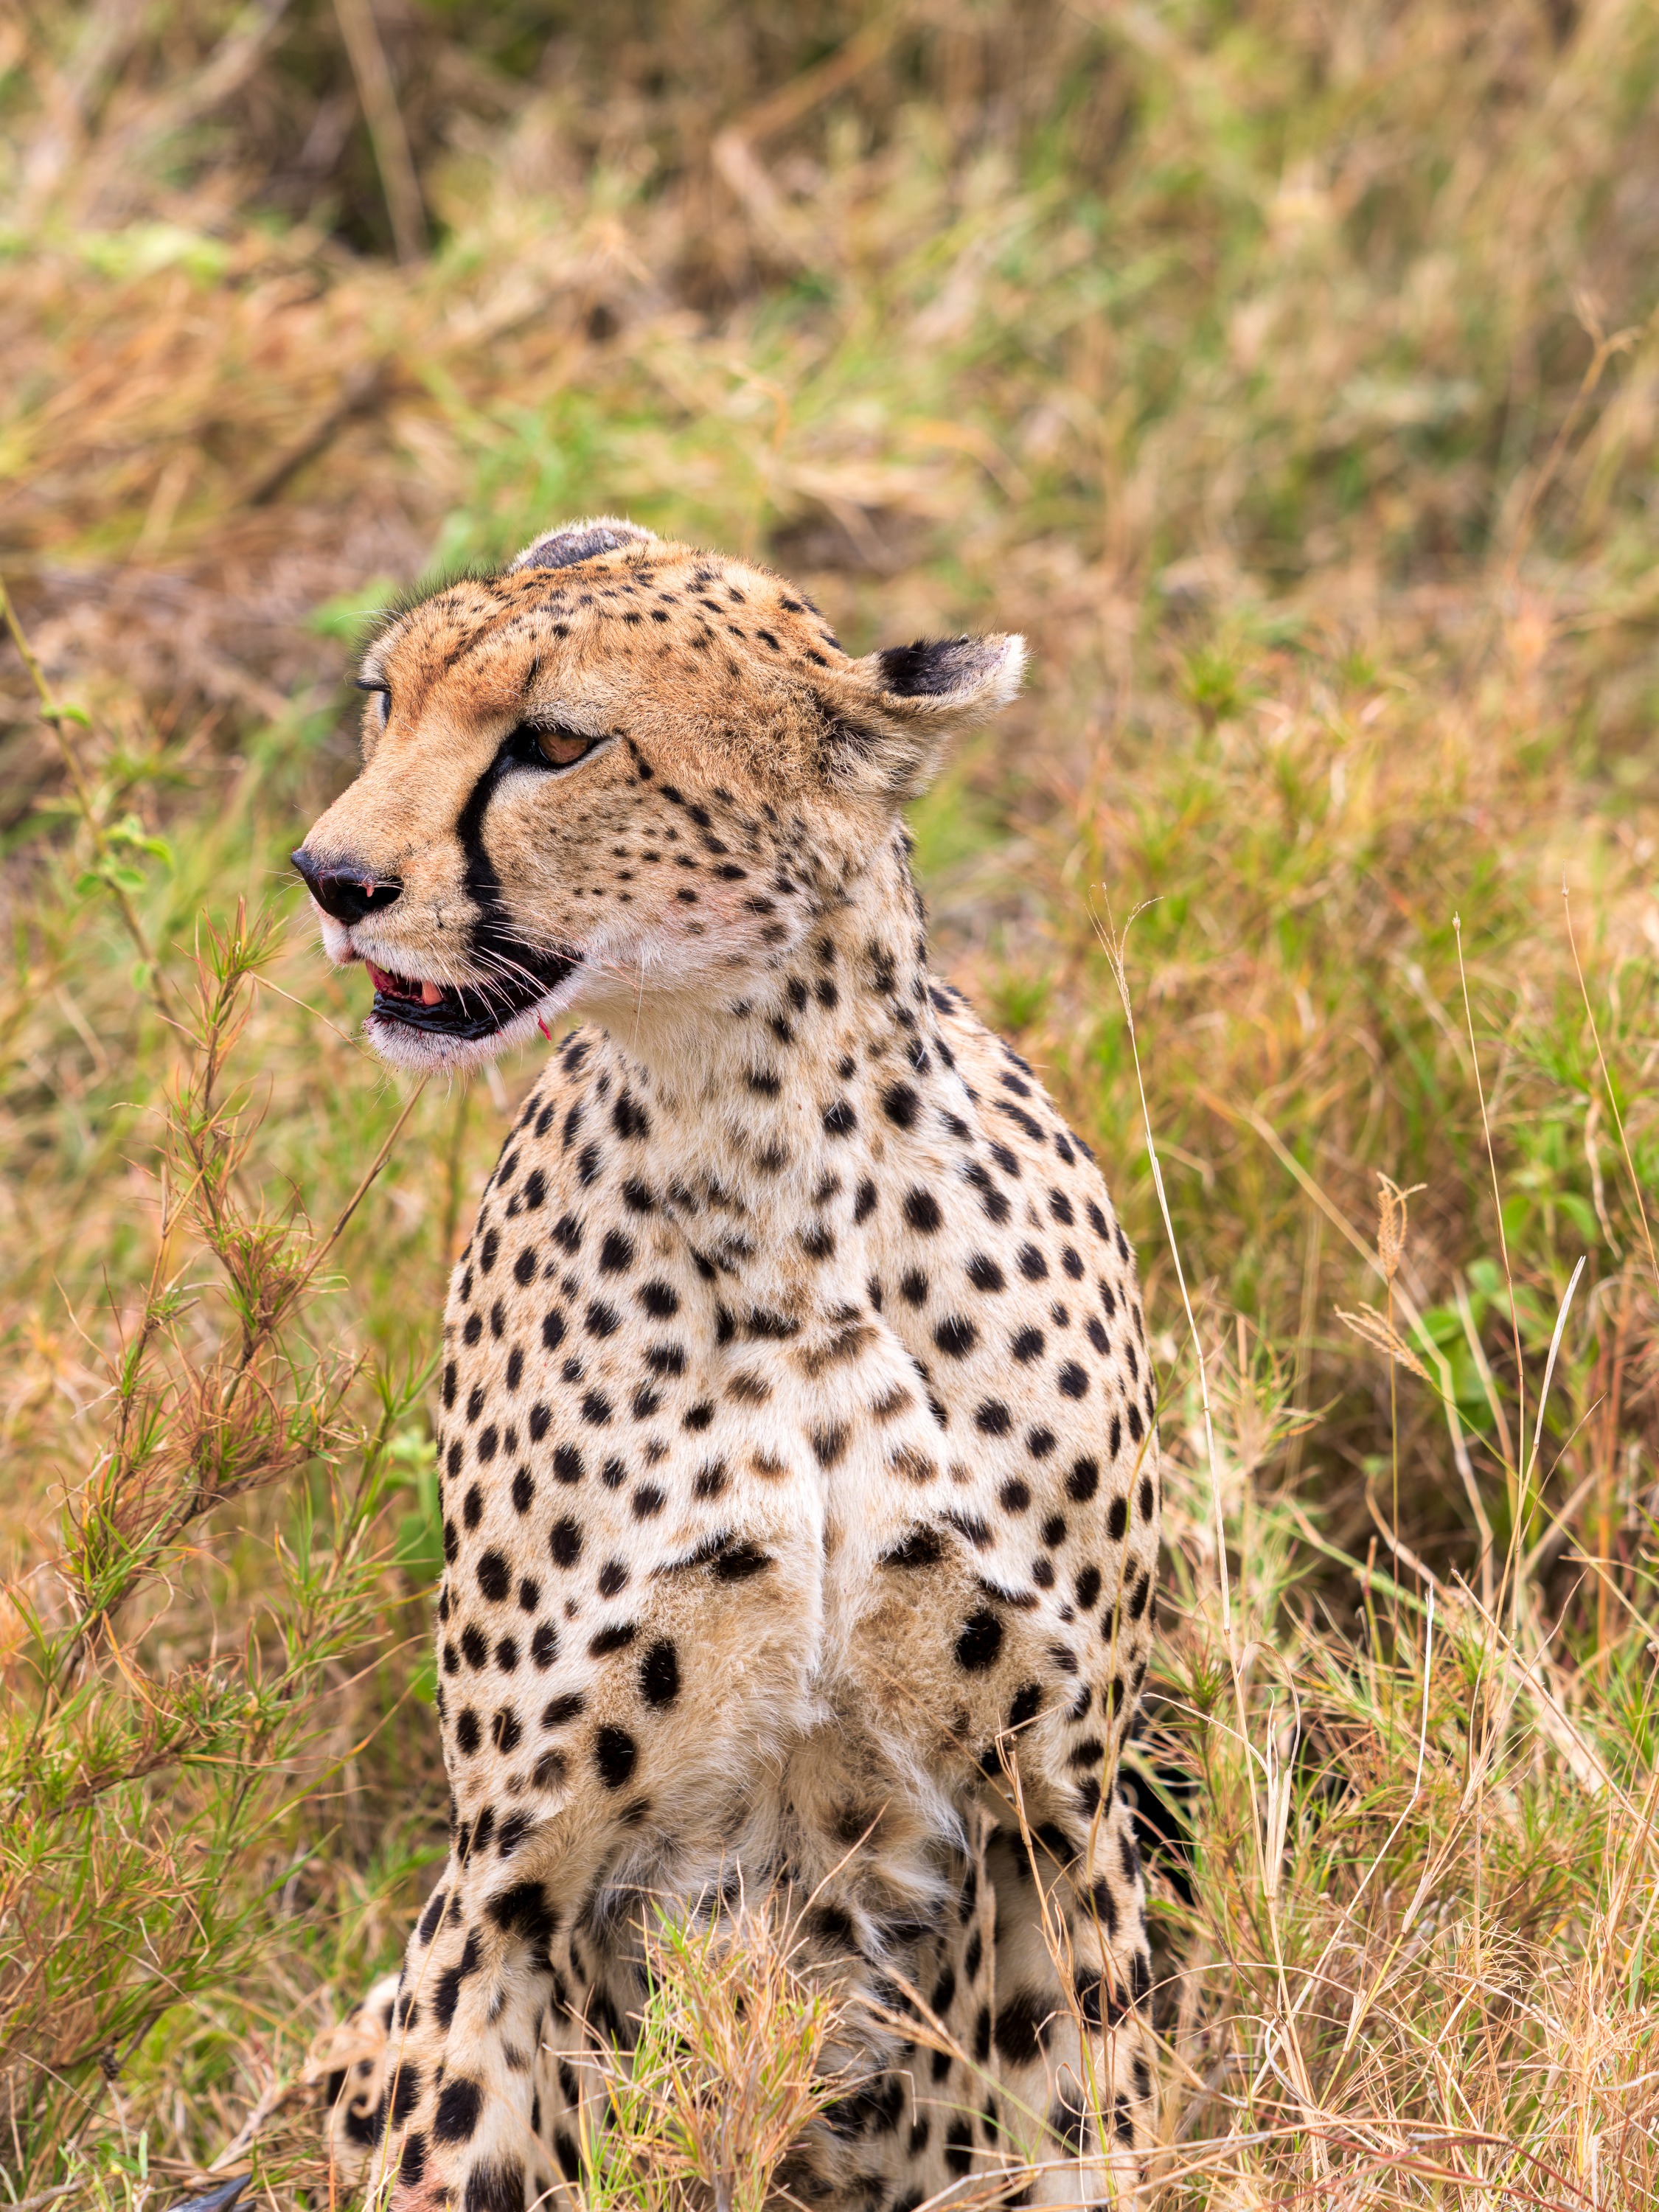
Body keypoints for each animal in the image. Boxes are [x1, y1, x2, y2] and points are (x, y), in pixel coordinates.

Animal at [294, 517, 1163, 2212]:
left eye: (555, 744)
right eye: (384, 700)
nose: (334, 879)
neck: (773, 1186)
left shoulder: (1052, 1819)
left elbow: (1084, 2122)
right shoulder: (514, 1870)